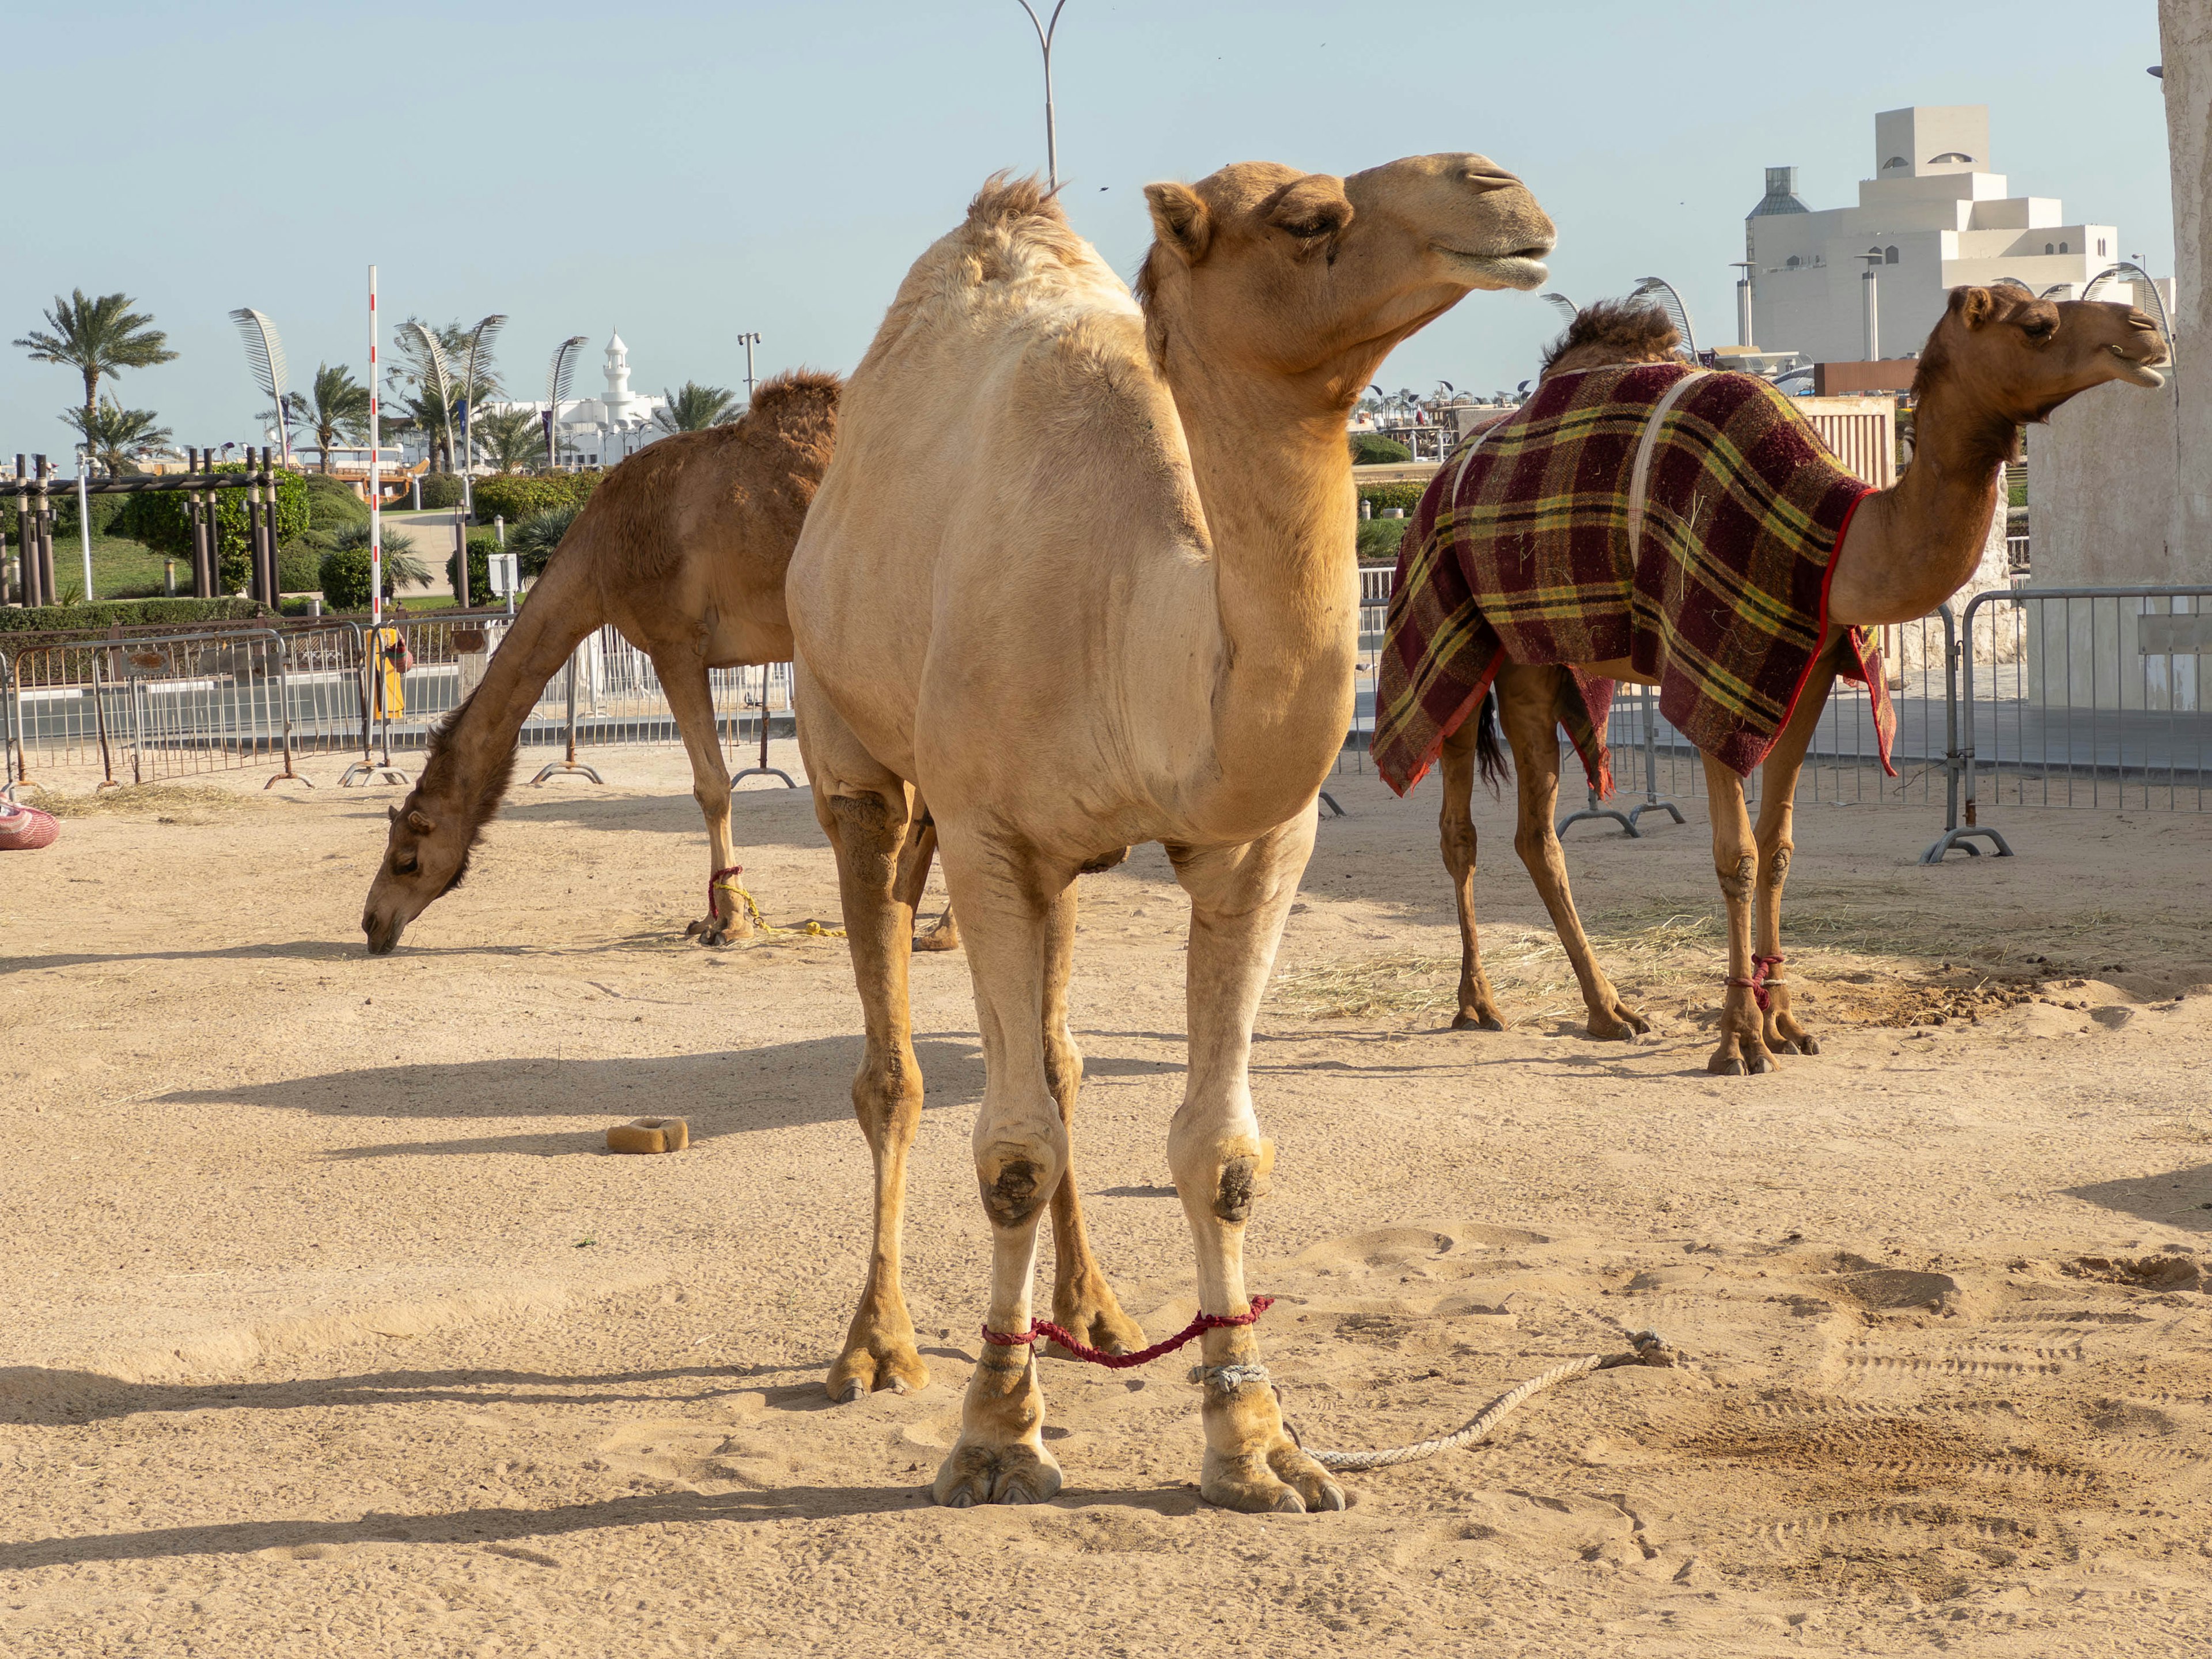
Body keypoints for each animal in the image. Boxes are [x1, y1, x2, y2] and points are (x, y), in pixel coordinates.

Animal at [356, 369, 960, 955]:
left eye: (406, 859)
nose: (371, 923)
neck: (599, 556)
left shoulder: (674, 641)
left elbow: (712, 785)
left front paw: (730, 923)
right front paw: (713, 917)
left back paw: (940, 928)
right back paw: (931, 923)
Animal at [787, 159, 1566, 1521]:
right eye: (1309, 216)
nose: (1504, 189)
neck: (1135, 617)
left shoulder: (1255, 847)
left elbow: (1219, 1152)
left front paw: (1259, 1449)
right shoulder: (987, 835)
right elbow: (1011, 1152)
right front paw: (995, 1438)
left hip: (1064, 867)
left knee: (1060, 1059)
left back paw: (1093, 1314)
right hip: (852, 754)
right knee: (900, 1069)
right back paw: (878, 1346)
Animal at [1389, 285, 2168, 1079]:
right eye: (2038, 325)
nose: (2144, 330)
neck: (1839, 536)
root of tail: (1443, 477)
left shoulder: (1808, 667)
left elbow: (1778, 848)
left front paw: (1786, 1022)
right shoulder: (1710, 671)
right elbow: (1736, 855)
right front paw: (1738, 1039)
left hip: (1540, 655)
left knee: (1535, 833)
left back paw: (1608, 1013)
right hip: (1455, 625)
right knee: (1462, 824)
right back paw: (1481, 1004)